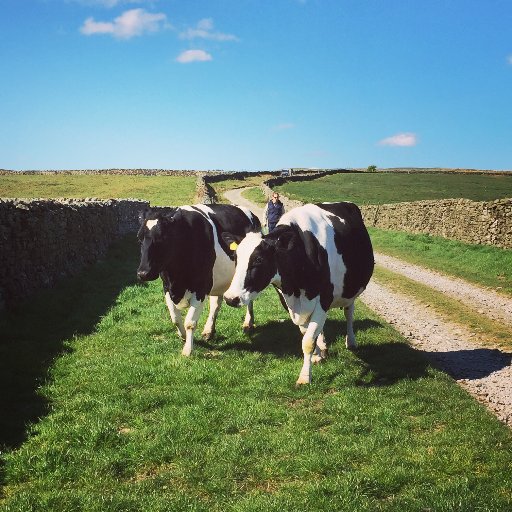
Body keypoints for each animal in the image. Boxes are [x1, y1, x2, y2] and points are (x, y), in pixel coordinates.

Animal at [137, 203, 260, 356]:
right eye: (139, 239)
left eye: (161, 238)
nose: (143, 273)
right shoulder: (166, 286)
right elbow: (175, 319)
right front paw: (183, 337)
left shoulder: (201, 287)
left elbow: (190, 322)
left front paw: (187, 350)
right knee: (215, 304)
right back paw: (208, 330)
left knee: (248, 299)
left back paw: (248, 323)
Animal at [222, 203, 374, 384]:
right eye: (235, 257)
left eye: (259, 259)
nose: (230, 298)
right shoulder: (289, 302)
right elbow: (306, 333)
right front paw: (317, 355)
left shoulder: (324, 299)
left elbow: (307, 341)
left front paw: (304, 378)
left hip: (350, 289)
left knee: (349, 312)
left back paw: (350, 341)